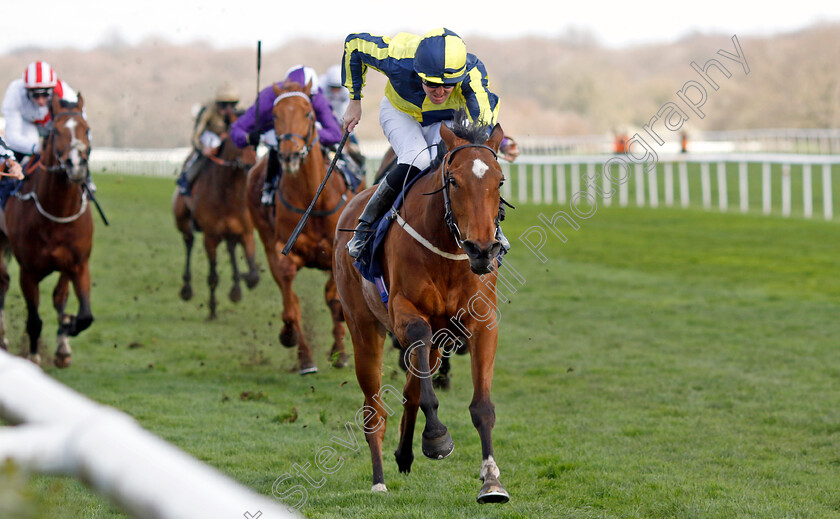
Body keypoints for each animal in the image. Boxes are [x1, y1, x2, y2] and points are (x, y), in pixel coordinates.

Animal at [0, 94, 93, 370]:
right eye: (55, 131)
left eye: (87, 129)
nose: (76, 165)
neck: (57, 213)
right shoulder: (28, 271)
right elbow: (34, 320)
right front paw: (33, 357)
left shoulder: (77, 264)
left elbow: (82, 314)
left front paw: (66, 336)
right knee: (3, 283)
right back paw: (4, 339)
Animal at [171, 129, 260, 320]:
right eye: (239, 140)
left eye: (256, 140)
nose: (250, 164)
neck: (230, 193)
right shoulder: (210, 237)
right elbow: (213, 277)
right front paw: (212, 309)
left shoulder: (246, 232)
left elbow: (253, 275)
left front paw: (241, 281)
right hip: (183, 222)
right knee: (189, 243)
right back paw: (186, 289)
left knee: (231, 248)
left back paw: (236, 288)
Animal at [246, 80, 358, 374]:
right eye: (274, 116)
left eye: (309, 114)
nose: (290, 155)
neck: (313, 201)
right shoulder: (285, 250)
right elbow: (291, 303)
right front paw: (298, 348)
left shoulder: (335, 253)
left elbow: (334, 300)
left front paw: (340, 352)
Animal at [336, 118, 512, 504]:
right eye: (454, 181)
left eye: (499, 181)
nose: (482, 249)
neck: (447, 249)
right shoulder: (406, 315)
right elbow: (418, 347)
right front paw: (436, 437)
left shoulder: (483, 323)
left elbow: (482, 406)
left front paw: (492, 480)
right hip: (363, 327)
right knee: (374, 410)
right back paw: (379, 478)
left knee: (411, 388)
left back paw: (404, 453)